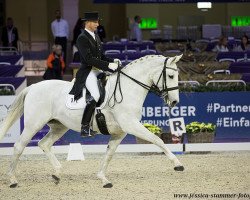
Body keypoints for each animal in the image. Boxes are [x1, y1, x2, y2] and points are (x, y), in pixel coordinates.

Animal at [0, 54, 184, 188]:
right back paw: (13, 180)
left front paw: (103, 179)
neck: (128, 88)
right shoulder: (131, 125)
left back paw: (57, 174)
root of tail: (33, 87)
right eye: (171, 75)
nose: (175, 102)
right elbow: (157, 140)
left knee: (44, 144)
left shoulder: (120, 132)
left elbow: (109, 153)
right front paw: (177, 164)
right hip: (34, 124)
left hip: (59, 126)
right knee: (19, 146)